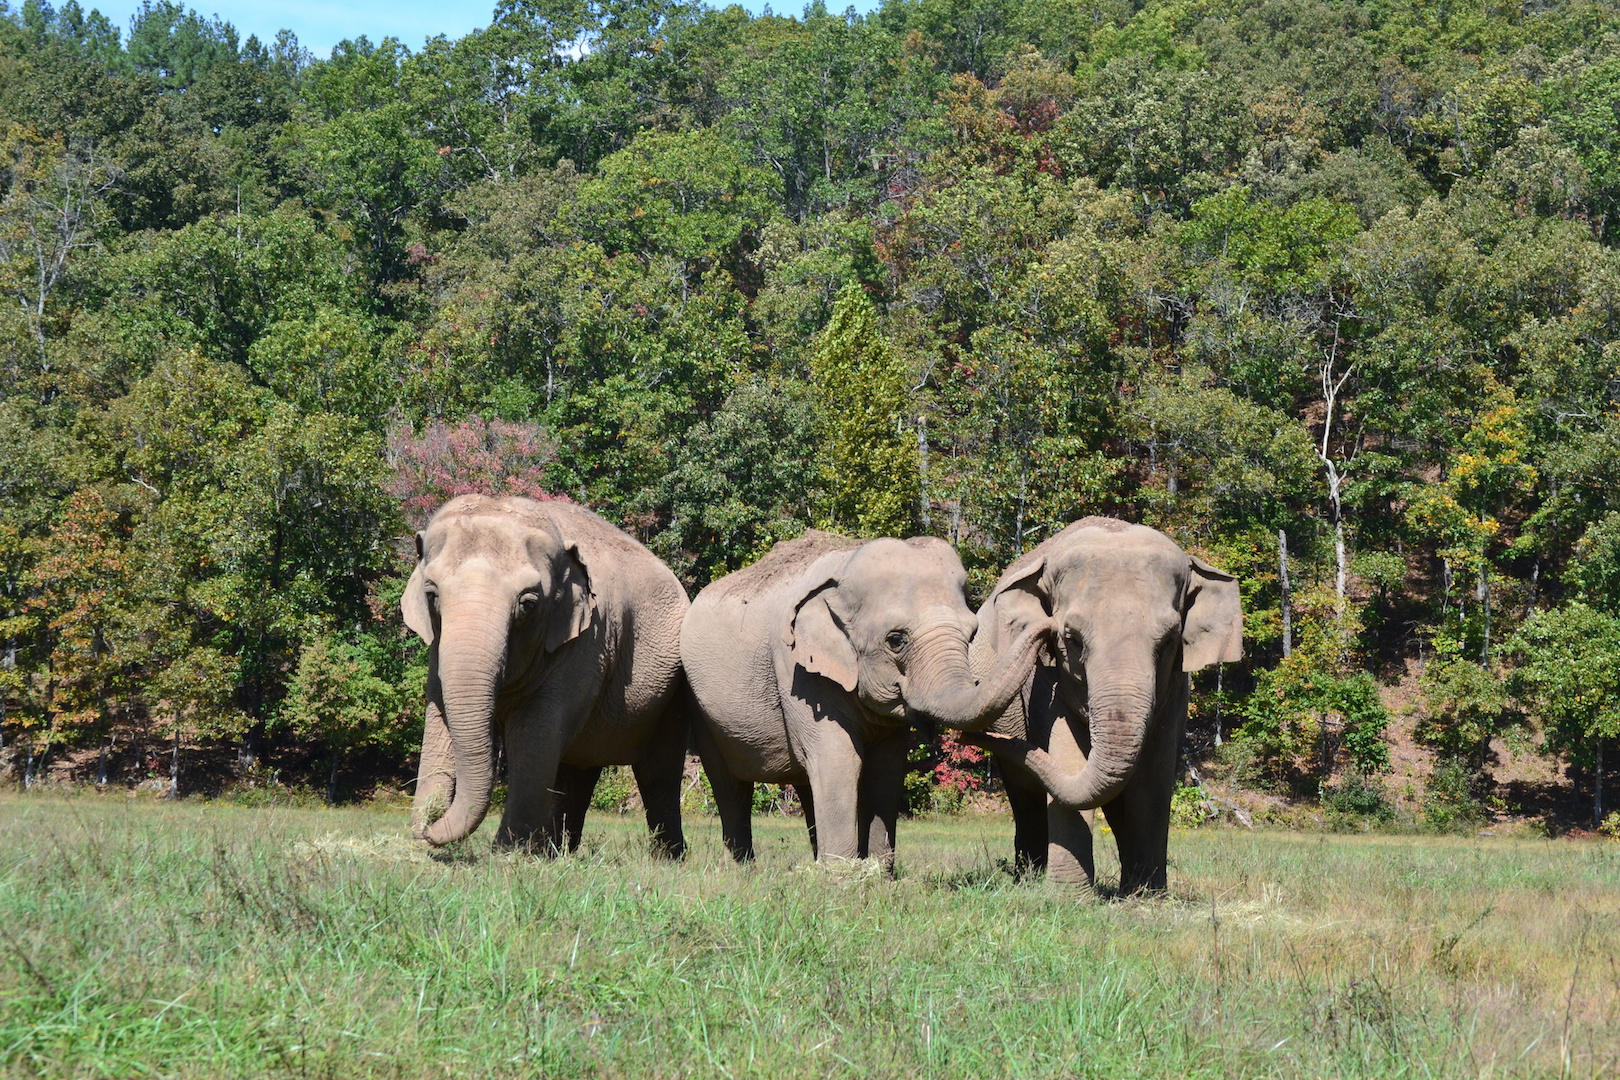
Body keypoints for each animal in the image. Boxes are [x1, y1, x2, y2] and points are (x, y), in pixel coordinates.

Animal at [403, 495, 690, 854]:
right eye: (431, 596)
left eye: (528, 604)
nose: (430, 827)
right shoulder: (438, 648)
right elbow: (439, 720)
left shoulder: (586, 643)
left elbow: (534, 734)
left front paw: (507, 852)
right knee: (577, 771)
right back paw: (558, 852)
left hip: (671, 696)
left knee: (658, 774)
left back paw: (667, 858)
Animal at [680, 527, 1049, 874]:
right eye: (896, 639)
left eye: (972, 634)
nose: (1048, 625)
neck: (844, 570)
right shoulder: (796, 671)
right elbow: (838, 758)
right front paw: (841, 879)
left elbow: (885, 768)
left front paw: (877, 876)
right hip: (702, 709)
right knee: (729, 785)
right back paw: (742, 871)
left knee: (805, 784)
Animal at [965, 518, 1244, 893]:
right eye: (1070, 638)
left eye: (1169, 640)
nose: (1045, 628)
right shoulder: (1043, 678)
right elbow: (1067, 756)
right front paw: (1067, 896)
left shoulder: (1175, 687)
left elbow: (1153, 778)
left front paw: (1147, 896)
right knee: (1024, 793)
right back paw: (1029, 877)